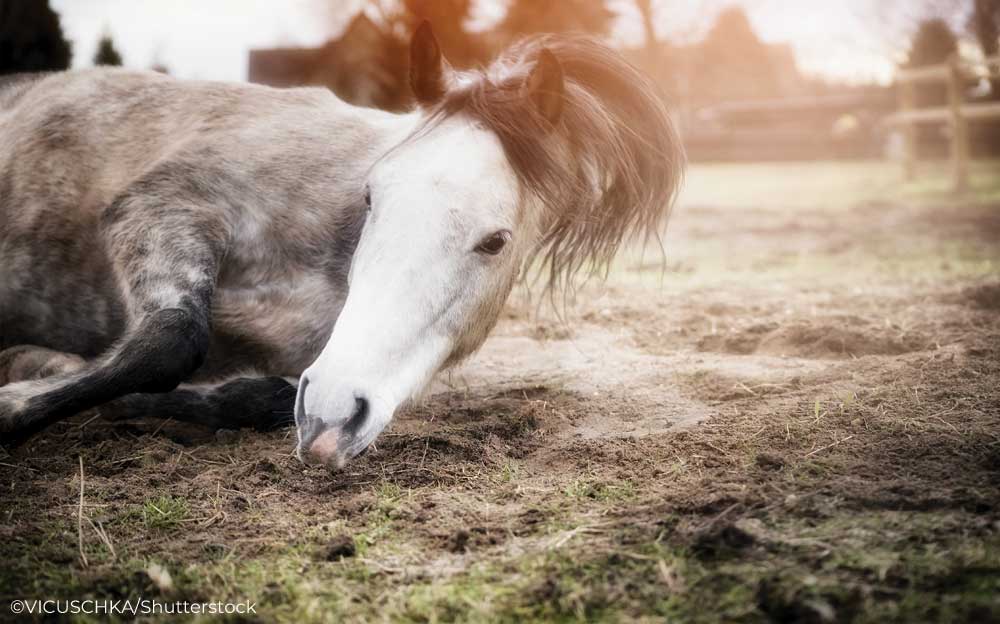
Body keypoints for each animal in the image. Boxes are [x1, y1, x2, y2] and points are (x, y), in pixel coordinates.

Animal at [0, 24, 684, 468]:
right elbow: (171, 340)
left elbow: (267, 393)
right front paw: (15, 401)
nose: (331, 413)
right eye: (372, 196)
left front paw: (41, 373)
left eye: (496, 241)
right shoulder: (159, 208)